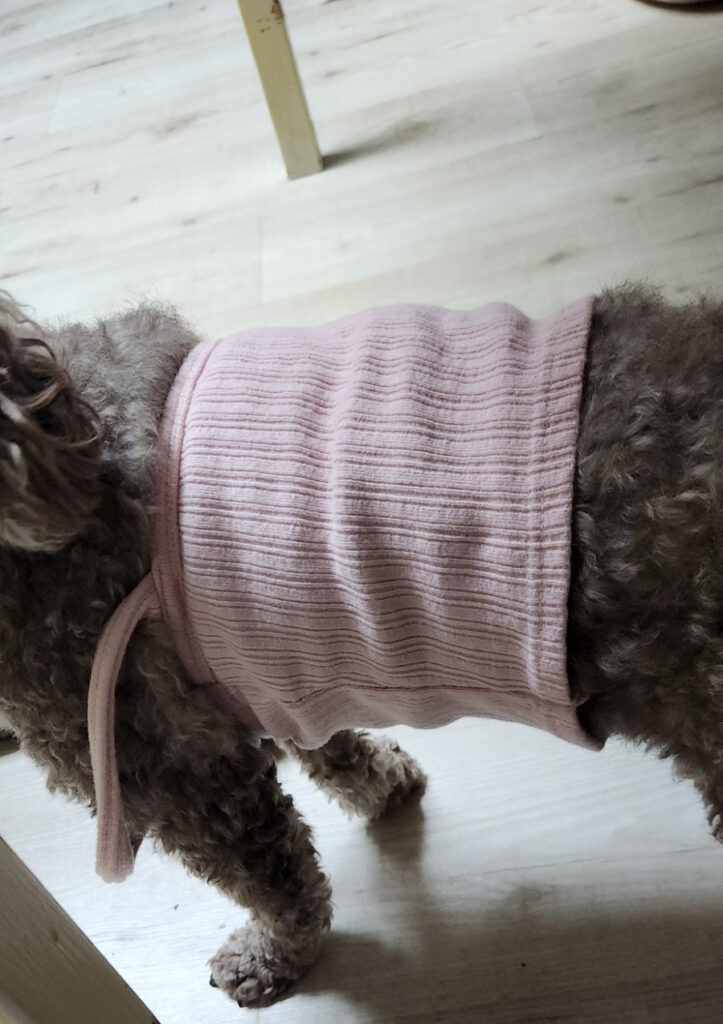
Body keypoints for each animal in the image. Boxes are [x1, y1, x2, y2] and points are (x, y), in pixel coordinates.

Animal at [1, 284, 722, 1008]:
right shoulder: (275, 675)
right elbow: (328, 750)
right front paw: (384, 785)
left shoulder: (179, 777)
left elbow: (275, 878)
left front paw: (273, 953)